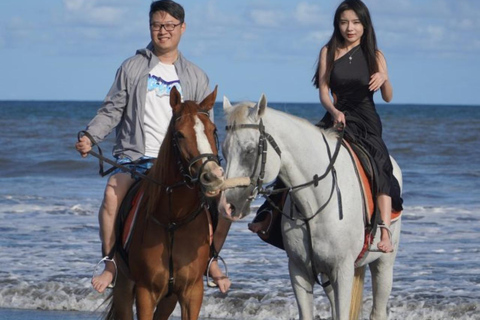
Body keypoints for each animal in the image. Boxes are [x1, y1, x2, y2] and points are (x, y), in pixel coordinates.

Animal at [105, 85, 223, 320]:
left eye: (213, 130)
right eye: (179, 134)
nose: (212, 176)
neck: (173, 220)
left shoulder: (191, 291)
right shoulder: (145, 292)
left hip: (169, 297)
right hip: (124, 286)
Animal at [216, 95, 404, 320]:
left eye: (250, 150)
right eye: (224, 151)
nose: (226, 207)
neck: (315, 204)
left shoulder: (343, 270)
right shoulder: (299, 270)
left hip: (384, 264)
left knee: (378, 309)